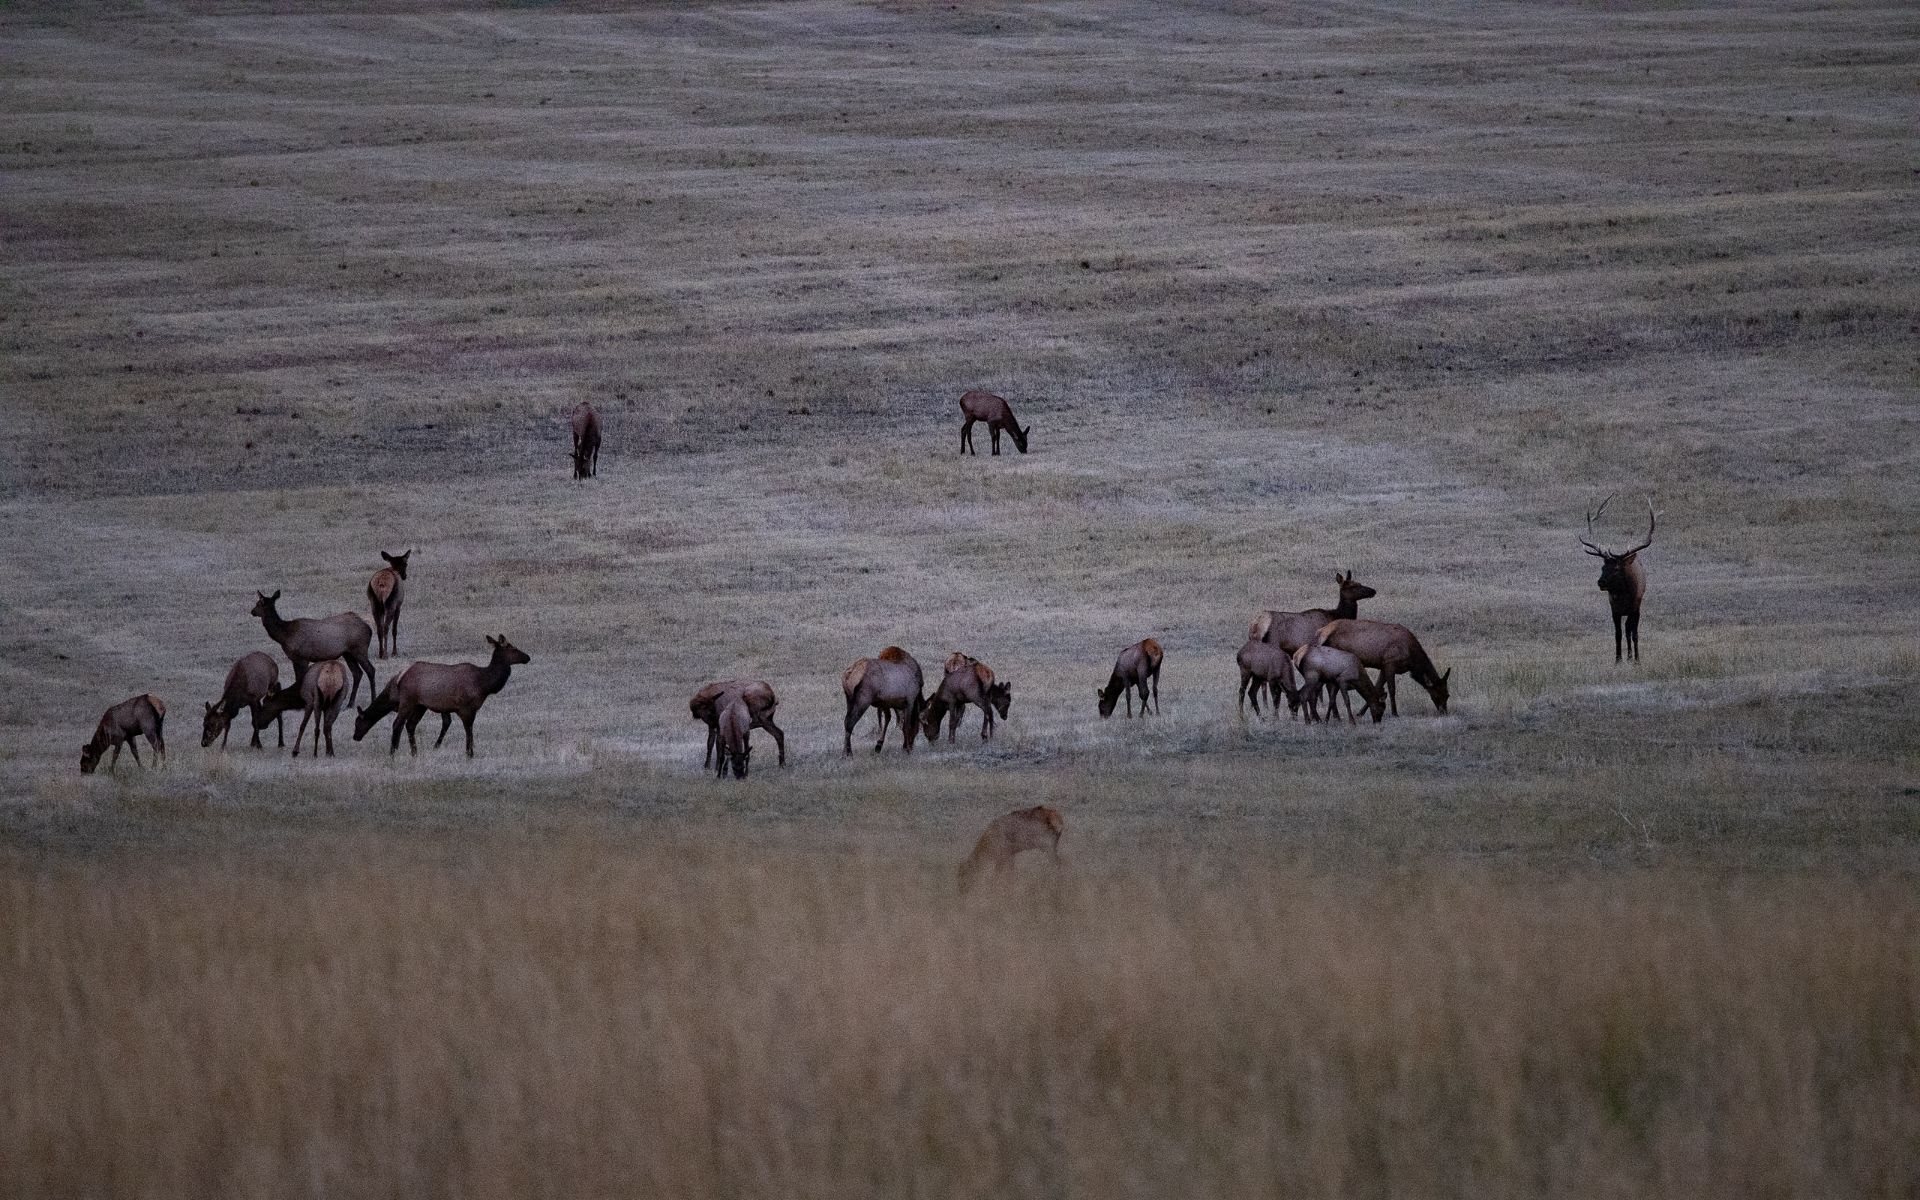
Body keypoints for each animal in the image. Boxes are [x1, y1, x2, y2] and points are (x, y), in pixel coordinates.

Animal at [351, 635, 530, 757]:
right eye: (513, 648)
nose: (527, 657)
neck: (484, 685)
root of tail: (400, 677)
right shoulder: (465, 707)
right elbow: (468, 729)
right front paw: (469, 753)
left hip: (420, 705)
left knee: (410, 725)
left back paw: (414, 752)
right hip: (408, 701)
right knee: (398, 723)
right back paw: (393, 752)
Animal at [1313, 619, 1451, 716]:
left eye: (1448, 695)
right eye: (1439, 694)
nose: (1444, 712)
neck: (1412, 659)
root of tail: (1320, 632)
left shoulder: (1383, 666)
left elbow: (1378, 687)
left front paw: (1361, 713)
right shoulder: (1390, 662)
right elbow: (1391, 689)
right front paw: (1395, 713)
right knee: (1328, 685)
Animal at [1579, 494, 1656, 663]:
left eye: (1615, 569)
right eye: (1602, 567)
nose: (1600, 582)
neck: (1623, 597)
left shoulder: (1636, 607)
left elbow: (1633, 633)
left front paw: (1636, 660)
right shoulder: (1614, 609)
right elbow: (1618, 634)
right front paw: (1618, 660)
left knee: (1630, 630)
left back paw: (1632, 657)